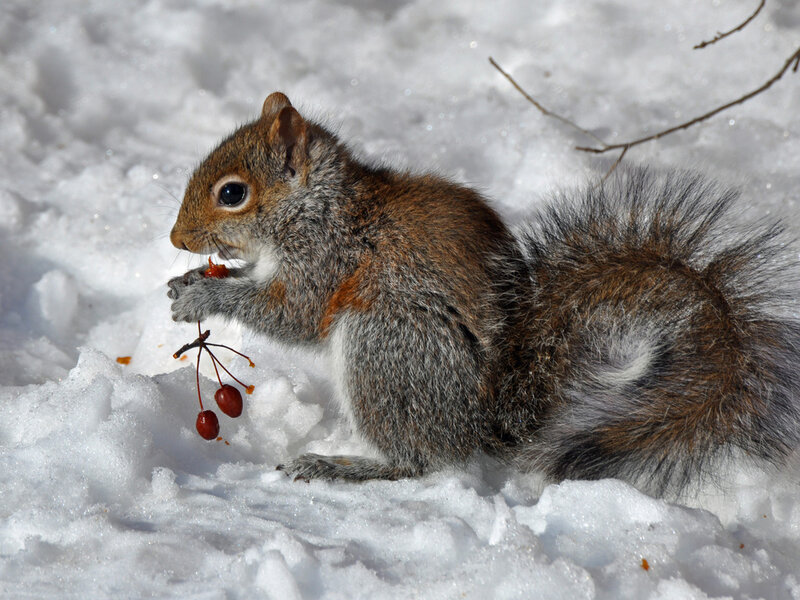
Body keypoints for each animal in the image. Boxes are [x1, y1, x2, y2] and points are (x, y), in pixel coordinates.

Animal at [168, 92, 800, 495]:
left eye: (232, 193)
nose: (176, 240)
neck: (317, 206)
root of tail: (482, 419)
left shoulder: (327, 259)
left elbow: (291, 313)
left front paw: (204, 299)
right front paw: (186, 283)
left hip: (386, 344)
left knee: (420, 460)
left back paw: (342, 466)